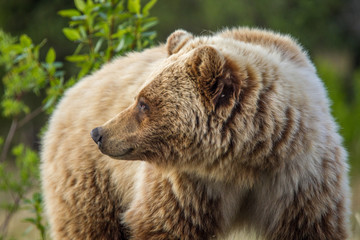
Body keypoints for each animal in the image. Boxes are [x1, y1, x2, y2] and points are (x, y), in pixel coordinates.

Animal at [40, 27, 350, 239]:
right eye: (137, 97)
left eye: (143, 103)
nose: (99, 133)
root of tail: (70, 91)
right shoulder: (186, 186)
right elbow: (163, 224)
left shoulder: (300, 182)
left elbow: (311, 226)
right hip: (90, 181)